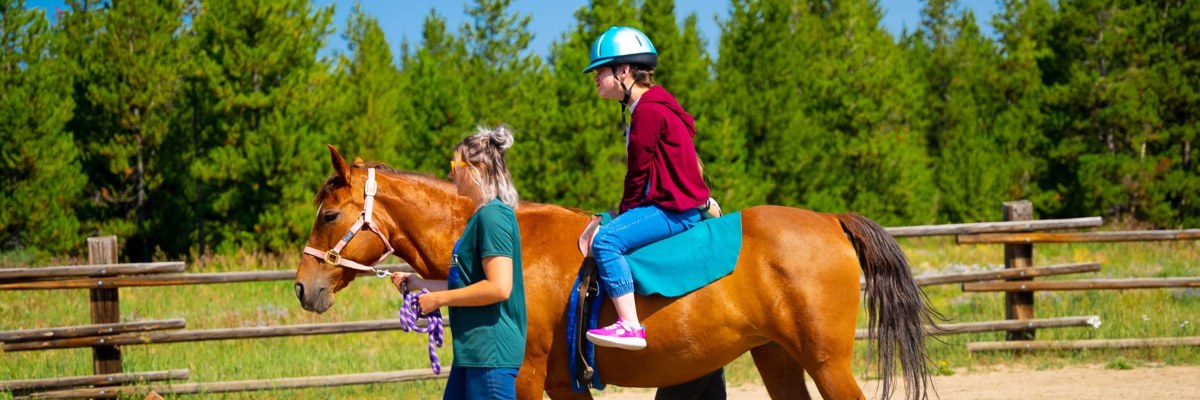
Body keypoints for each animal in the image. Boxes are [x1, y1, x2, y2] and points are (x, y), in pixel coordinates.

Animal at [294, 145, 940, 400]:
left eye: (328, 214)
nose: (304, 286)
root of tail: (830, 220)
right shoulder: (563, 385)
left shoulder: (526, 381)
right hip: (778, 357)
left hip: (827, 362)